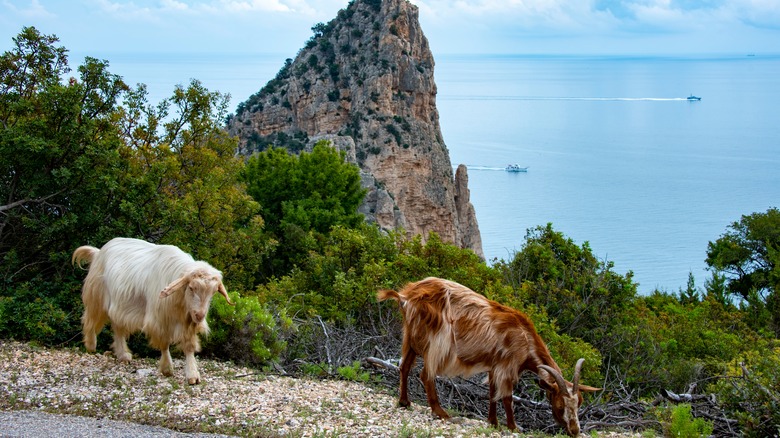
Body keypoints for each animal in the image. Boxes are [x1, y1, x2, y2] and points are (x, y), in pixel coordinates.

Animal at [72, 238, 233, 384]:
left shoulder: (187, 320)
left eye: (213, 292)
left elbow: (189, 346)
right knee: (90, 319)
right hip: (96, 296)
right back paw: (91, 345)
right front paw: (167, 369)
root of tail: (98, 252)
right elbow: (164, 343)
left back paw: (123, 355)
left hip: (119, 307)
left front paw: (192, 375)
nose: (200, 315)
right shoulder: (159, 320)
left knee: (118, 328)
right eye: (191, 288)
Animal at [376, 278, 596, 434]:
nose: (574, 431)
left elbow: (492, 392)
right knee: (425, 374)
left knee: (404, 366)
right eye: (559, 405)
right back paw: (441, 413)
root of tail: (406, 297)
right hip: (438, 340)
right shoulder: (508, 366)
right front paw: (513, 426)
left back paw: (404, 402)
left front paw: (493, 422)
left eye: (580, 403)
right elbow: (507, 396)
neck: (525, 337)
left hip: (410, 338)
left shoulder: (494, 365)